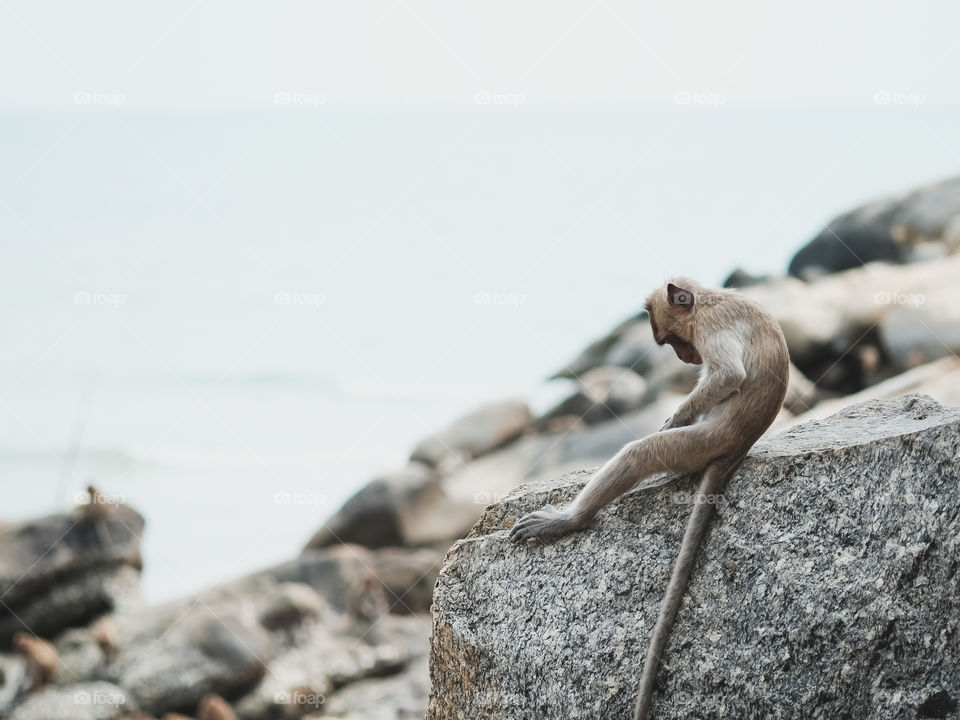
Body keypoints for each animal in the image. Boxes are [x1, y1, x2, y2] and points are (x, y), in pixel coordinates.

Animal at [509, 278, 789, 720]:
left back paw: (571, 519)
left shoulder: (712, 324)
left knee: (640, 453)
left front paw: (673, 418)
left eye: (674, 339)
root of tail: (737, 447)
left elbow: (728, 375)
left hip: (698, 444)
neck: (711, 298)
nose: (684, 356)